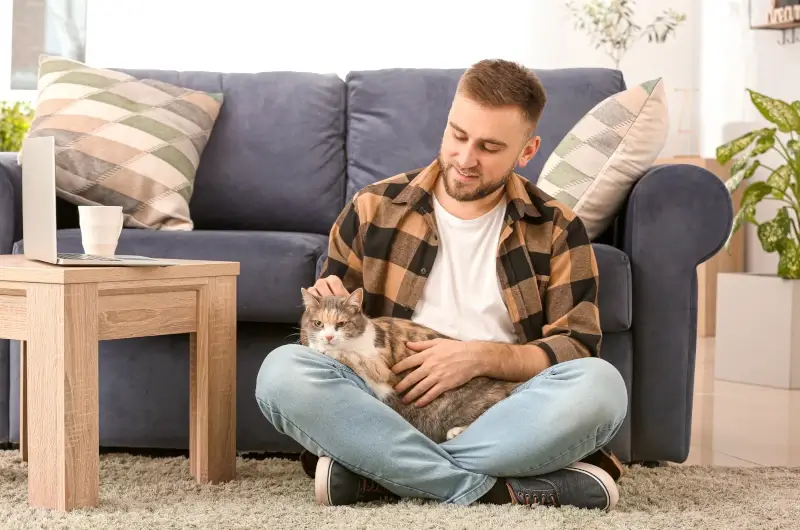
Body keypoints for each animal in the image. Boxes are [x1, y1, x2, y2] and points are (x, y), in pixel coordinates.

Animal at [296, 284, 520, 442]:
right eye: (318, 323)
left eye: (341, 324)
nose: (328, 337)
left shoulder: (381, 368)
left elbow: (351, 357)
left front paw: (327, 350)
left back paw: (456, 431)